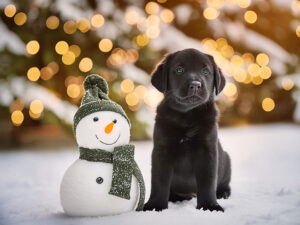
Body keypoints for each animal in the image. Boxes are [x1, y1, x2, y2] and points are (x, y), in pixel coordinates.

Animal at [144, 48, 231, 212]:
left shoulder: (207, 150)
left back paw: (223, 193)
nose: (195, 85)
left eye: (205, 71)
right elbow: (159, 181)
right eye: (179, 70)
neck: (186, 116)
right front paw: (155, 205)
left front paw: (209, 206)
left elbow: (207, 181)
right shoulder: (161, 150)